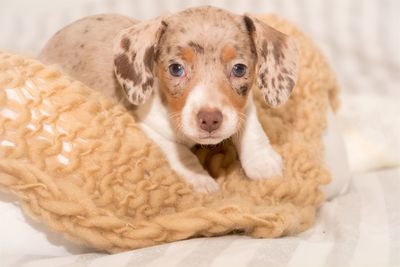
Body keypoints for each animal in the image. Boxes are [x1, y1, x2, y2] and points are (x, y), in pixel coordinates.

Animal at [39, 6, 298, 194]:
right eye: (176, 69)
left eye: (239, 69)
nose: (210, 119)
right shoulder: (147, 126)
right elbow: (178, 151)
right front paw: (200, 179)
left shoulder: (242, 108)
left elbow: (251, 127)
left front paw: (263, 163)